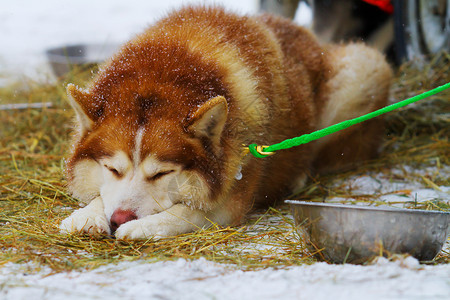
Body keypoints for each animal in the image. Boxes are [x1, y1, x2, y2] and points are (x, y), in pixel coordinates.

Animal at [59, 5, 390, 240]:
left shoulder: (231, 200)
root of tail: (308, 36)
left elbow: (188, 212)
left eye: (162, 173)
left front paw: (144, 226)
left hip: (364, 66)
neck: (168, 68)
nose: (120, 219)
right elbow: (102, 195)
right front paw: (86, 214)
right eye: (112, 169)